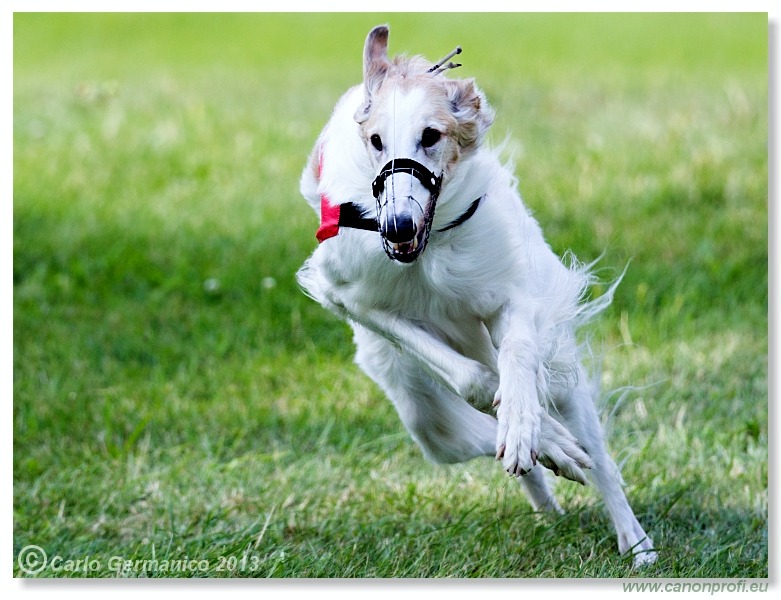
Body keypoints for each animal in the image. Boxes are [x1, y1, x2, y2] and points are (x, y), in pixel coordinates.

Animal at [296, 24, 656, 568]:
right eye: (376, 141)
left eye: (431, 135)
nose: (396, 226)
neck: (425, 253)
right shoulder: (349, 295)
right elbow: (470, 379)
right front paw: (538, 437)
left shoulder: (508, 291)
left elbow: (517, 357)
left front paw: (525, 422)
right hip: (424, 417)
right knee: (482, 436)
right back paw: (553, 470)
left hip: (560, 373)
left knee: (599, 457)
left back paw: (634, 542)